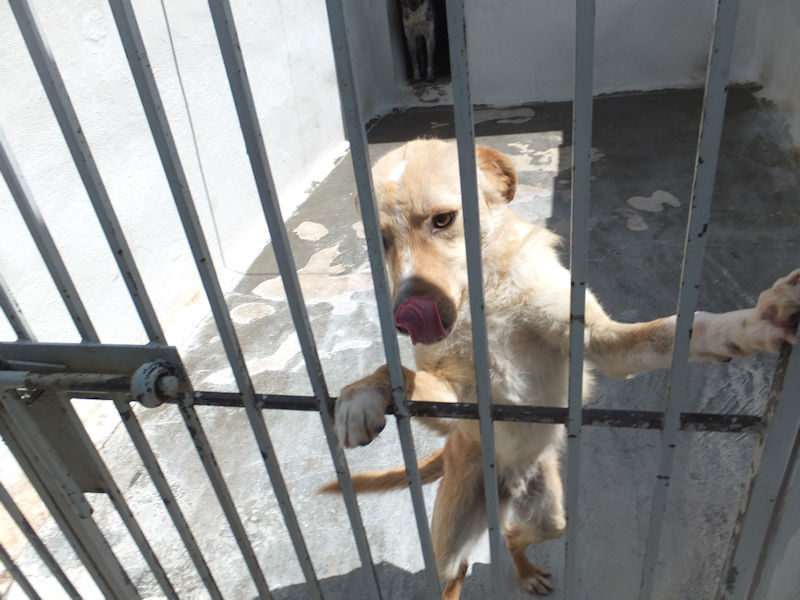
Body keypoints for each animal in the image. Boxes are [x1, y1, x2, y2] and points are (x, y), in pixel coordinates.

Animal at [321, 139, 800, 598]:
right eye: (380, 241)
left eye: (443, 220)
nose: (405, 318)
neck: (486, 299)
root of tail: (506, 487)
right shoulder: (456, 405)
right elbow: (400, 373)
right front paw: (360, 396)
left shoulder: (600, 342)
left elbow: (676, 330)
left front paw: (755, 323)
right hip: (448, 534)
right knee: (455, 571)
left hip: (549, 515)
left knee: (512, 537)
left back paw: (527, 571)